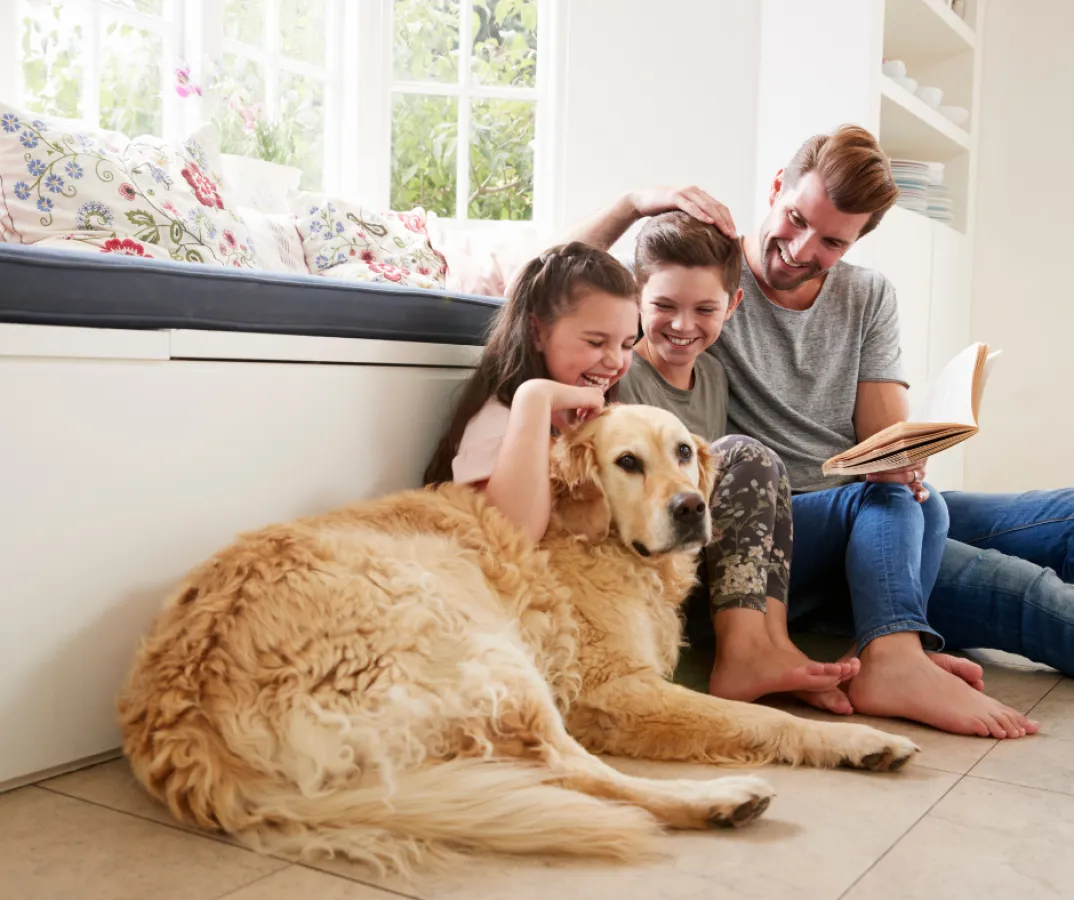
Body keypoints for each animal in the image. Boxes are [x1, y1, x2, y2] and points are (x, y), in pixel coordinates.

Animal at [121, 405, 919, 876]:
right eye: (627, 462)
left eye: (685, 453)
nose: (693, 508)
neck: (601, 540)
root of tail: (180, 720)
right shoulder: (612, 690)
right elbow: (760, 715)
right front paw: (858, 739)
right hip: (480, 647)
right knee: (575, 773)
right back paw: (721, 800)